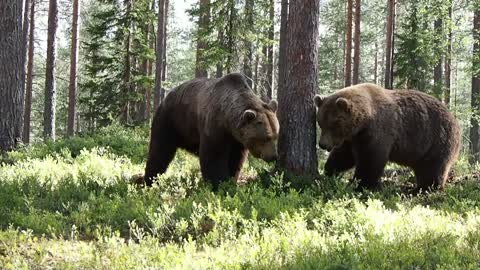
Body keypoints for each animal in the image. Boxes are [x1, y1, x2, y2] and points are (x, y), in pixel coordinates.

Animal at [143, 71, 278, 190]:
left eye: (276, 135)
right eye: (266, 137)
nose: (273, 156)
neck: (228, 122)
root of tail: (165, 97)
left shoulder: (237, 140)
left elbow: (236, 160)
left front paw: (231, 180)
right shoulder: (214, 127)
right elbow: (214, 157)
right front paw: (219, 184)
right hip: (171, 120)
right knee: (160, 150)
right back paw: (150, 180)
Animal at [316, 83, 462, 191]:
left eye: (333, 125)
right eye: (320, 123)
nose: (322, 144)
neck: (364, 121)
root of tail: (455, 120)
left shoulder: (378, 132)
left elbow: (370, 160)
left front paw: (361, 185)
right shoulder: (353, 138)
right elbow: (344, 155)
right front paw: (329, 171)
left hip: (437, 139)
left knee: (432, 167)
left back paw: (424, 188)